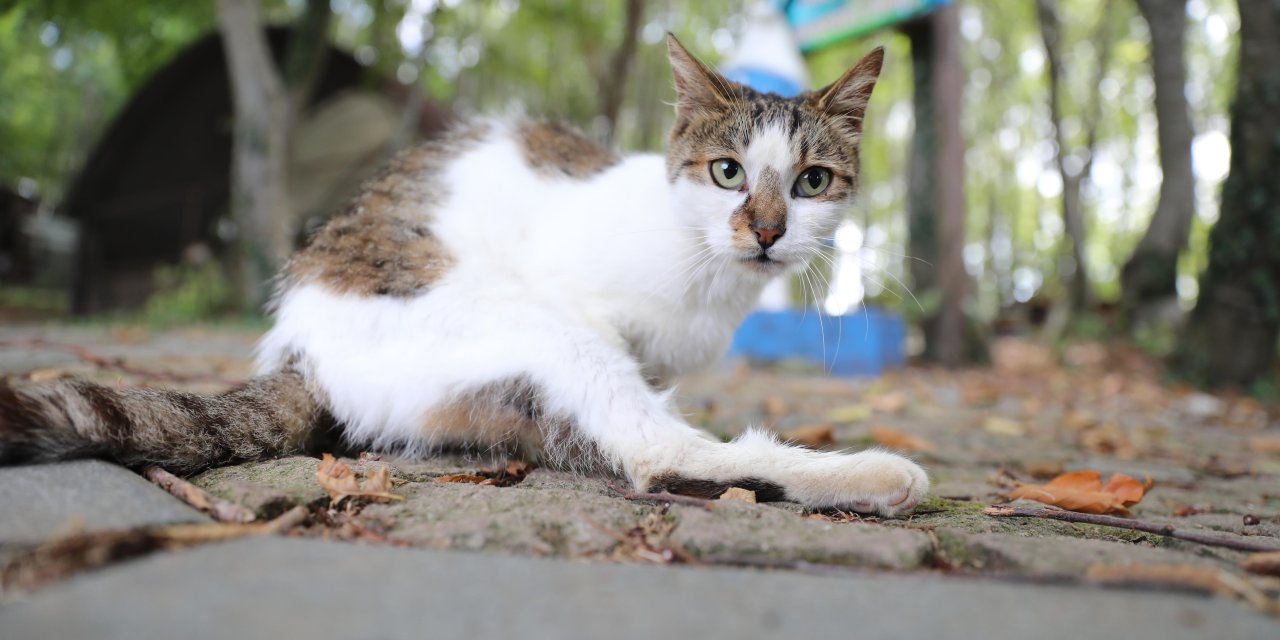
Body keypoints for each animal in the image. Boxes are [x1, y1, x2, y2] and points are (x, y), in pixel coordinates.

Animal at [0, 35, 926, 517]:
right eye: (728, 173)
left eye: (812, 182)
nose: (766, 230)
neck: (701, 267)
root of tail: (298, 348)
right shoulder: (582, 299)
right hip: (530, 323)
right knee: (655, 453)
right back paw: (874, 476)